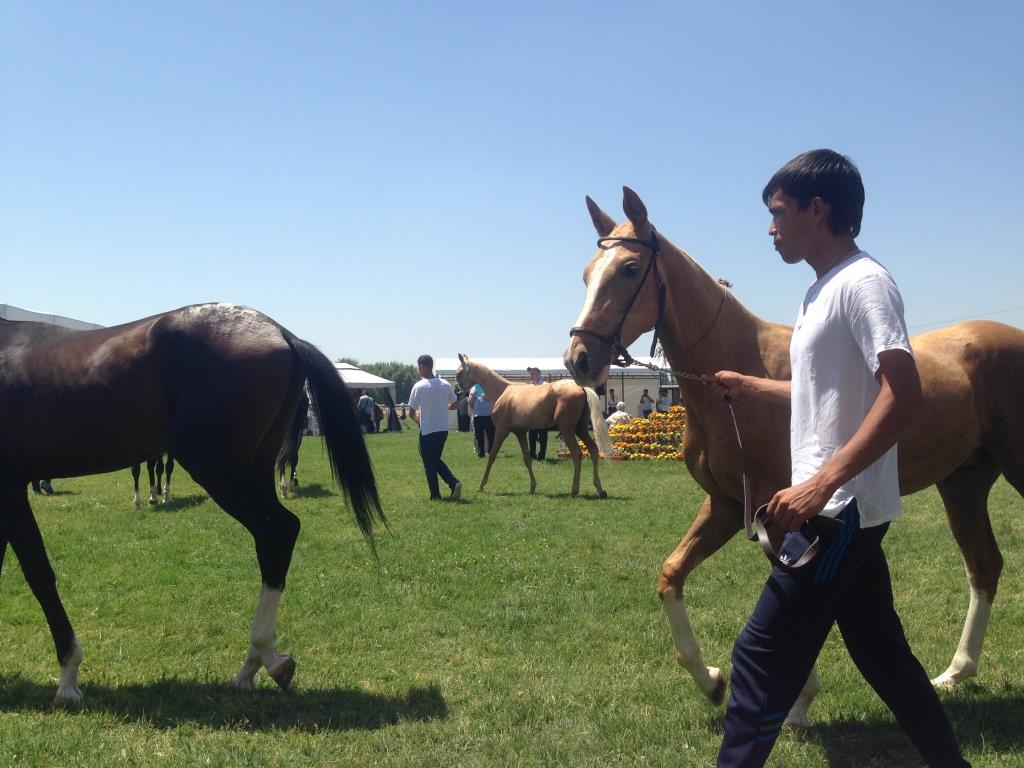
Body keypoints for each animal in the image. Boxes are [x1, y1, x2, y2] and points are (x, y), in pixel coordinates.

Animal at [0, 303, 385, 708]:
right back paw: (252, 667)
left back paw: (263, 657)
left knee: (278, 531)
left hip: (216, 468)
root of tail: (281, 333)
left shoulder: (9, 487)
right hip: (252, 467)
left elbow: (38, 574)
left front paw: (68, 678)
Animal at [454, 354, 606, 499]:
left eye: (458, 373)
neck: (503, 391)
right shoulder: (520, 432)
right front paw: (533, 487)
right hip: (580, 428)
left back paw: (574, 490)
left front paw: (481, 486)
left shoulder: (501, 430)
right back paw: (600, 489)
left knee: (576, 453)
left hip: (567, 429)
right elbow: (527, 458)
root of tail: (581, 387)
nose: (457, 391)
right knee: (593, 449)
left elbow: (492, 455)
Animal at [565, 188, 1024, 729]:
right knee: (984, 566)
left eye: (630, 268)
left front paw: (798, 699)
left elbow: (790, 600)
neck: (735, 378)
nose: (578, 359)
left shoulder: (780, 511)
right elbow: (671, 575)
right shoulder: (727, 505)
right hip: (963, 483)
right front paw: (712, 679)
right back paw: (956, 672)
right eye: (588, 273)